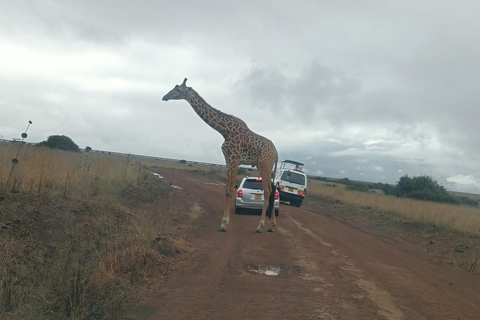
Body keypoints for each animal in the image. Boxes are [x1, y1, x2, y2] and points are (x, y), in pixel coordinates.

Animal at [163, 78, 280, 232]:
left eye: (178, 89)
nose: (164, 97)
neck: (224, 131)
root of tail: (276, 153)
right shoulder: (227, 159)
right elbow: (226, 190)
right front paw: (224, 222)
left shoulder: (234, 158)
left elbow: (230, 190)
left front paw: (223, 224)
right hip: (266, 166)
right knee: (272, 190)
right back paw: (272, 226)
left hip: (264, 165)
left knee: (267, 190)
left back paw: (260, 226)